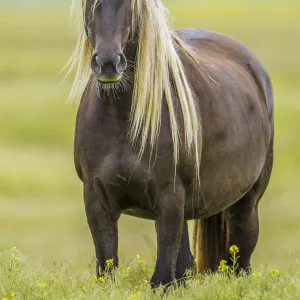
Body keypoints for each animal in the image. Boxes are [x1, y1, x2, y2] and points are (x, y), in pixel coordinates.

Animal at [67, 0, 274, 288]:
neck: (121, 119)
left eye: (129, 5)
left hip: (246, 203)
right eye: (88, 4)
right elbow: (107, 268)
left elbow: (161, 278)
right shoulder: (96, 200)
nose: (108, 64)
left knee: (240, 259)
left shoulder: (169, 198)